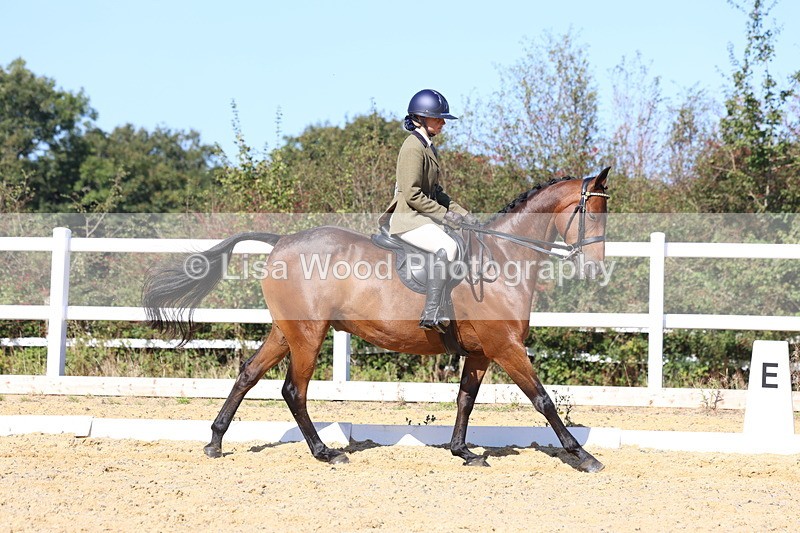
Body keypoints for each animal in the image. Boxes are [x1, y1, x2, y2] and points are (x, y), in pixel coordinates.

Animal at [142, 167, 611, 473]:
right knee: (294, 390)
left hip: (285, 332)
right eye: (592, 213)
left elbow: (465, 399)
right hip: (309, 335)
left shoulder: (481, 352)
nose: (594, 269)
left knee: (248, 374)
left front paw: (462, 451)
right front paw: (583, 456)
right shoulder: (506, 347)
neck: (502, 259)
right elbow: (543, 400)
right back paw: (325, 452)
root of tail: (282, 240)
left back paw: (215, 441)